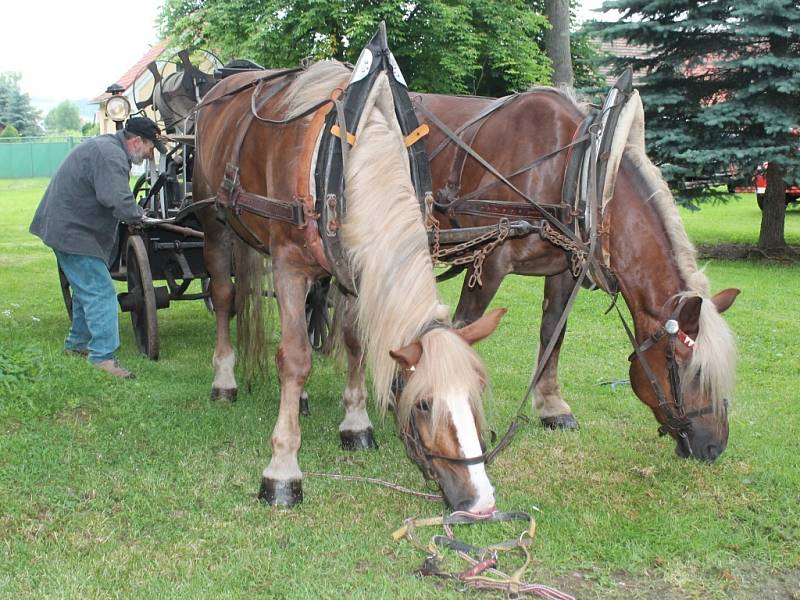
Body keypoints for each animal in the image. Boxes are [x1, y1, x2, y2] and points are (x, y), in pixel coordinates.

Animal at [412, 88, 744, 460]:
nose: (713, 446)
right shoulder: (490, 259)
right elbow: (464, 329)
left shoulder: (565, 268)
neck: (575, 170)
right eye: (691, 371)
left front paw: (552, 407)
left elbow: (553, 331)